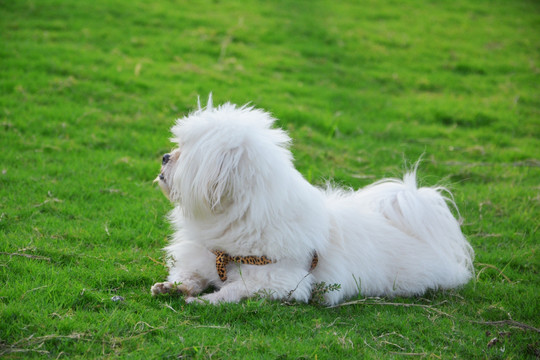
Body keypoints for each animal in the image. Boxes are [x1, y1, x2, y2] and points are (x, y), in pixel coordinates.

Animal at [151, 97, 472, 306]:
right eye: (176, 148)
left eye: (184, 154)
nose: (165, 157)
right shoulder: (203, 258)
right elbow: (190, 276)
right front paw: (173, 287)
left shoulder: (281, 281)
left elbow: (234, 291)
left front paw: (206, 301)